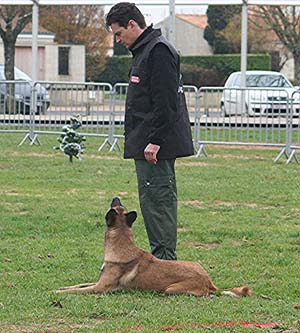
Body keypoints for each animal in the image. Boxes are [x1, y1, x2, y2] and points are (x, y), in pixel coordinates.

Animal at [55, 197, 251, 296]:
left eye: (117, 204)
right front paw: (63, 287)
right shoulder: (97, 282)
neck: (121, 244)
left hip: (171, 289)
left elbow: (78, 290)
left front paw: (57, 292)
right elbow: (78, 285)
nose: (116, 197)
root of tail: (209, 282)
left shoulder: (100, 288)